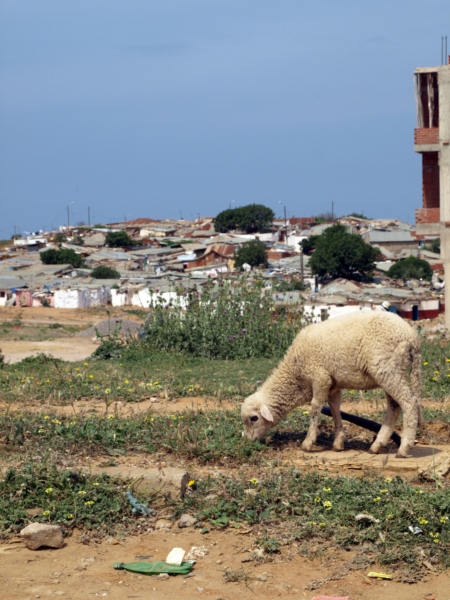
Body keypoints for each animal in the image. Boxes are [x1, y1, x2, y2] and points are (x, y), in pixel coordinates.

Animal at [243, 312, 422, 458]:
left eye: (254, 418)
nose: (248, 440)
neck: (295, 372)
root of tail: (412, 337)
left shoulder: (320, 377)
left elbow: (315, 407)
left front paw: (308, 443)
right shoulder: (333, 385)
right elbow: (335, 408)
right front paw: (338, 442)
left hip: (388, 369)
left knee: (409, 402)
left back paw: (404, 447)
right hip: (390, 371)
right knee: (394, 407)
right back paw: (377, 445)